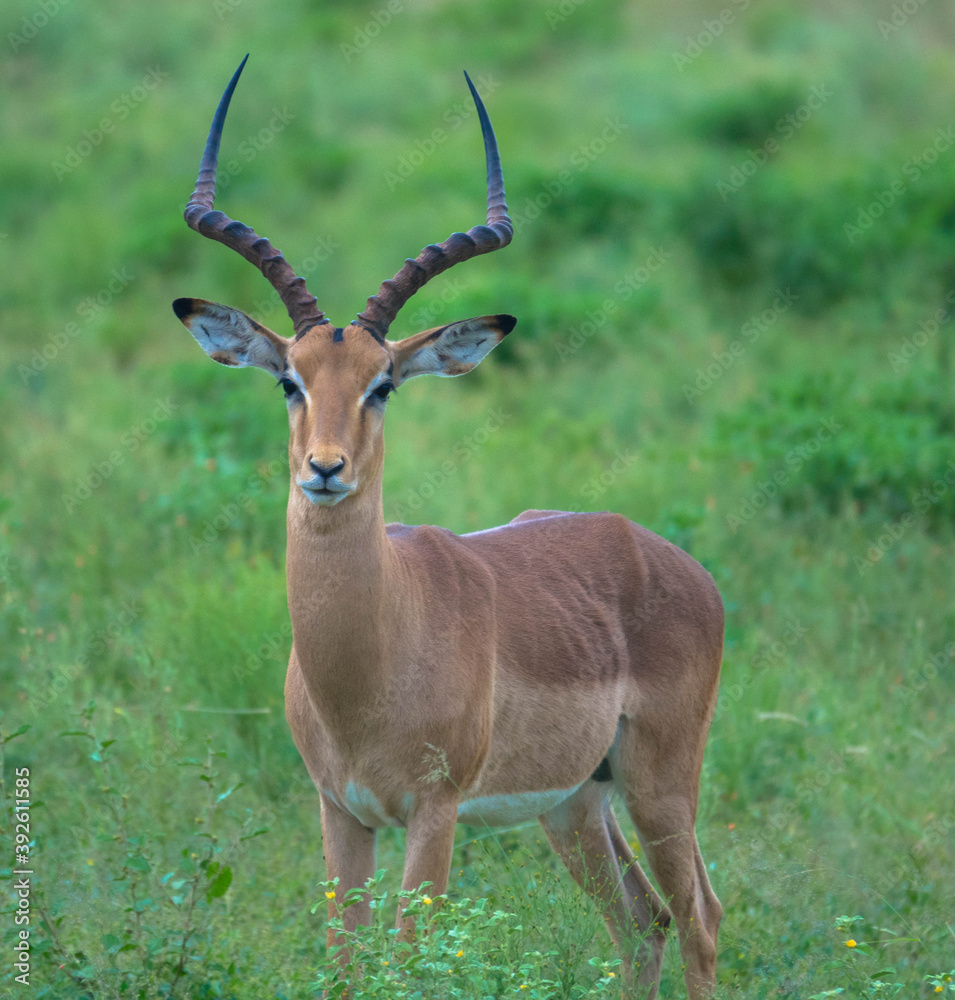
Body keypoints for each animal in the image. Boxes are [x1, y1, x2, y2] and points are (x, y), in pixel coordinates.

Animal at [173, 56, 723, 999]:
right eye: (288, 378)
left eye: (382, 384)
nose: (325, 469)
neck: (370, 659)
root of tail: (665, 557)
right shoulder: (340, 812)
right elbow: (345, 963)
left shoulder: (434, 814)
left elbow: (407, 963)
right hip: (576, 803)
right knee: (642, 922)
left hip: (659, 785)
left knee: (700, 922)